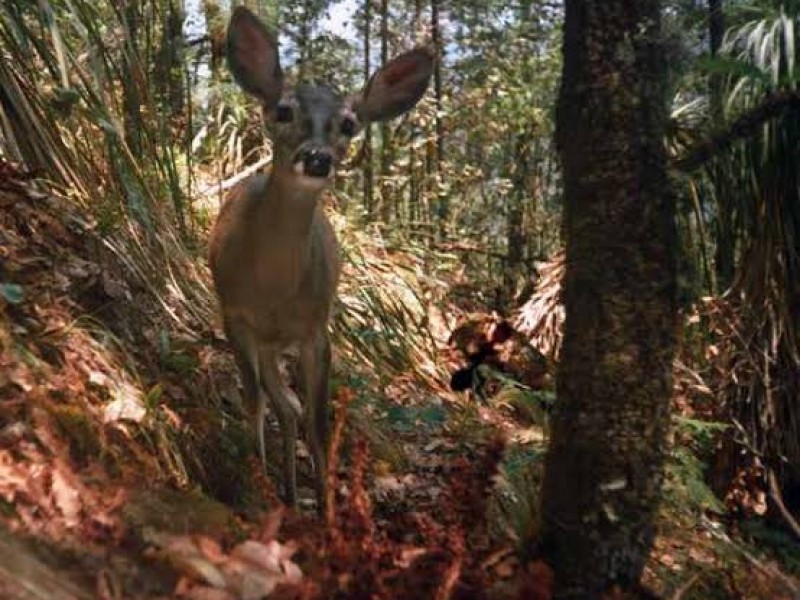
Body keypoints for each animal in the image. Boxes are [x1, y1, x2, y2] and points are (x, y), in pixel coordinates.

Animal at [206, 7, 432, 508]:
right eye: (283, 110)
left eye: (349, 124)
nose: (317, 158)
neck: (273, 286)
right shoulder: (236, 315)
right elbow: (254, 404)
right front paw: (258, 488)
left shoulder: (316, 328)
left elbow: (319, 425)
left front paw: (327, 507)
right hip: (263, 343)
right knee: (279, 404)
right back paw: (284, 492)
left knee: (292, 408)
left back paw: (295, 494)